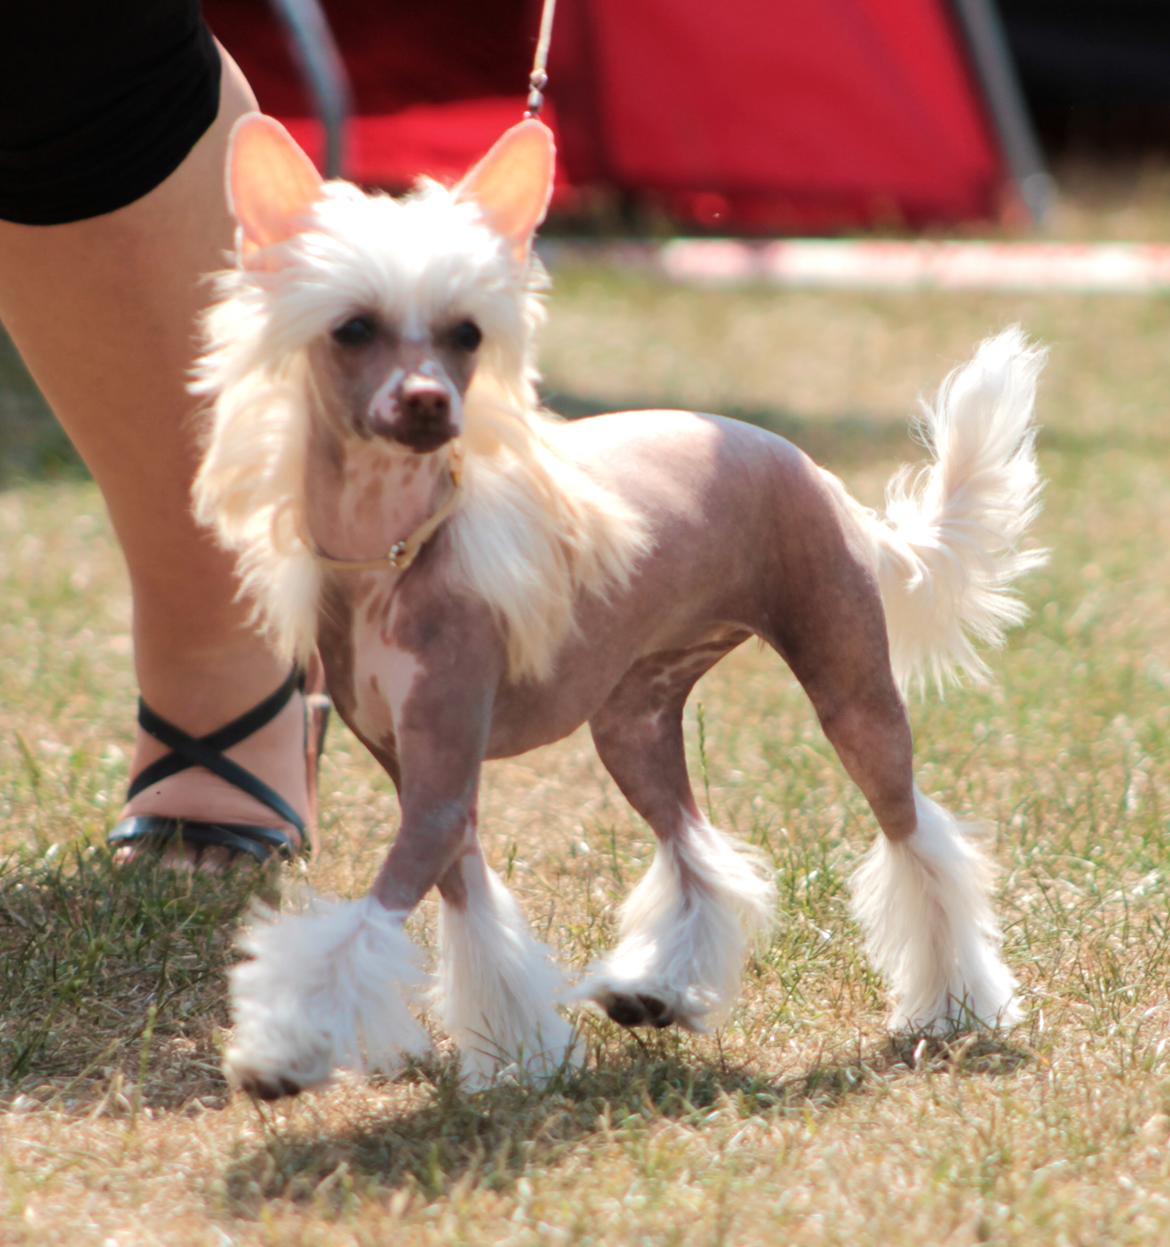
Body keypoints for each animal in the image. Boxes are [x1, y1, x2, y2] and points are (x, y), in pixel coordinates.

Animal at [192, 114, 1037, 1092]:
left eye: (466, 333)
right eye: (353, 328)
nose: (429, 403)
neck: (398, 550)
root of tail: (824, 479)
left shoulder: (439, 782)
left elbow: (363, 927)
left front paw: (289, 1044)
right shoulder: (424, 774)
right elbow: (473, 910)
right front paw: (520, 1050)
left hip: (851, 685)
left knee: (916, 838)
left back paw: (955, 1005)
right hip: (633, 715)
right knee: (693, 844)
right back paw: (658, 989)